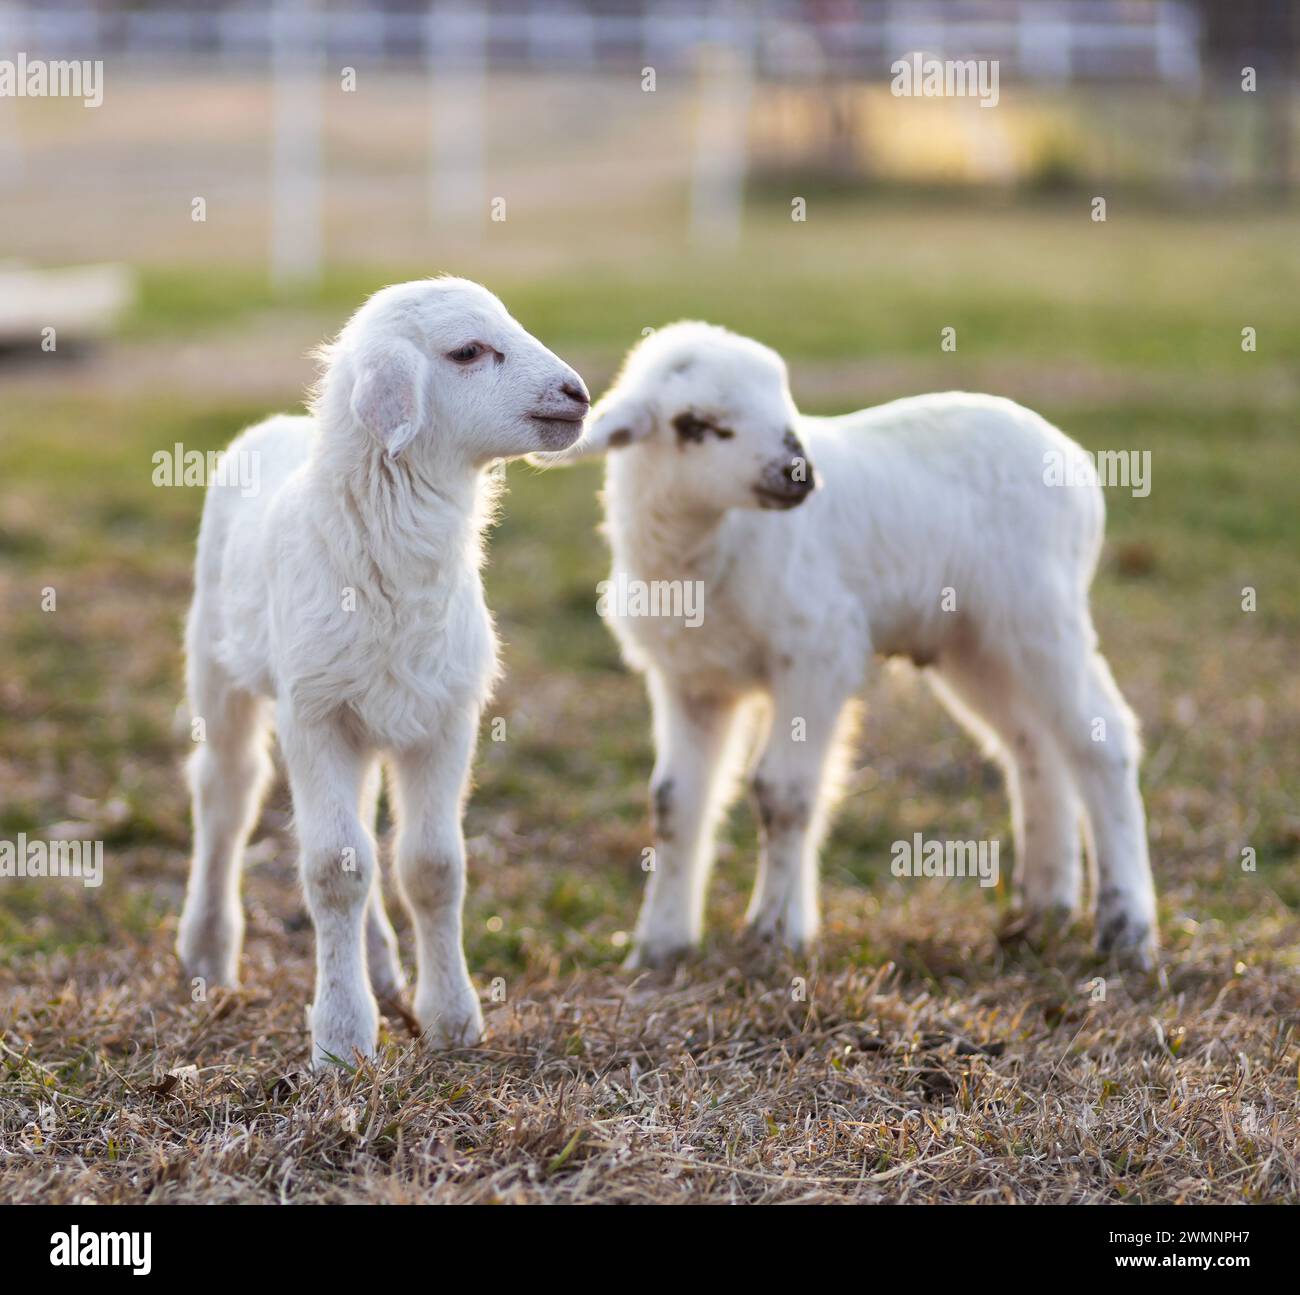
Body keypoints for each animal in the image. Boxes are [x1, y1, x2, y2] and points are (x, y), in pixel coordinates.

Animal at [176, 277, 590, 1066]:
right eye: (467, 351)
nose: (577, 394)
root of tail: (275, 425)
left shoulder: (445, 716)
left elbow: (431, 866)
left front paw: (452, 1020)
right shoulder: (314, 715)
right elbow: (334, 870)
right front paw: (341, 1040)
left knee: (362, 818)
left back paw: (378, 963)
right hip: (219, 660)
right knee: (226, 796)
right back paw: (208, 953)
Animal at [534, 322, 1157, 970]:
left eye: (784, 401)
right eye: (695, 424)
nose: (798, 472)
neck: (708, 552)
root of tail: (1070, 456)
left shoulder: (818, 652)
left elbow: (782, 793)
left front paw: (775, 933)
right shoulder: (690, 680)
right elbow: (675, 803)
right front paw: (659, 945)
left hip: (1040, 612)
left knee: (1102, 740)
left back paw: (1125, 931)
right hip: (973, 643)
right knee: (1033, 745)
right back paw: (1042, 909)